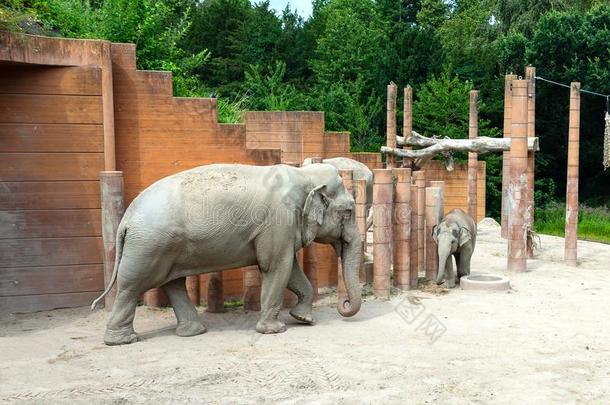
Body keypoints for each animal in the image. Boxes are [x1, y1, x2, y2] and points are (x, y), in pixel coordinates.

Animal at [91, 163, 360, 344]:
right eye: (348, 211)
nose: (344, 305)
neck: (304, 175)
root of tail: (126, 217)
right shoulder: (279, 221)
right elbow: (276, 267)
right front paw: (275, 330)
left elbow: (290, 269)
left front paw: (303, 319)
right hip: (149, 246)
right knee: (132, 286)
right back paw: (122, 341)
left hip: (165, 247)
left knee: (173, 283)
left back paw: (192, 332)